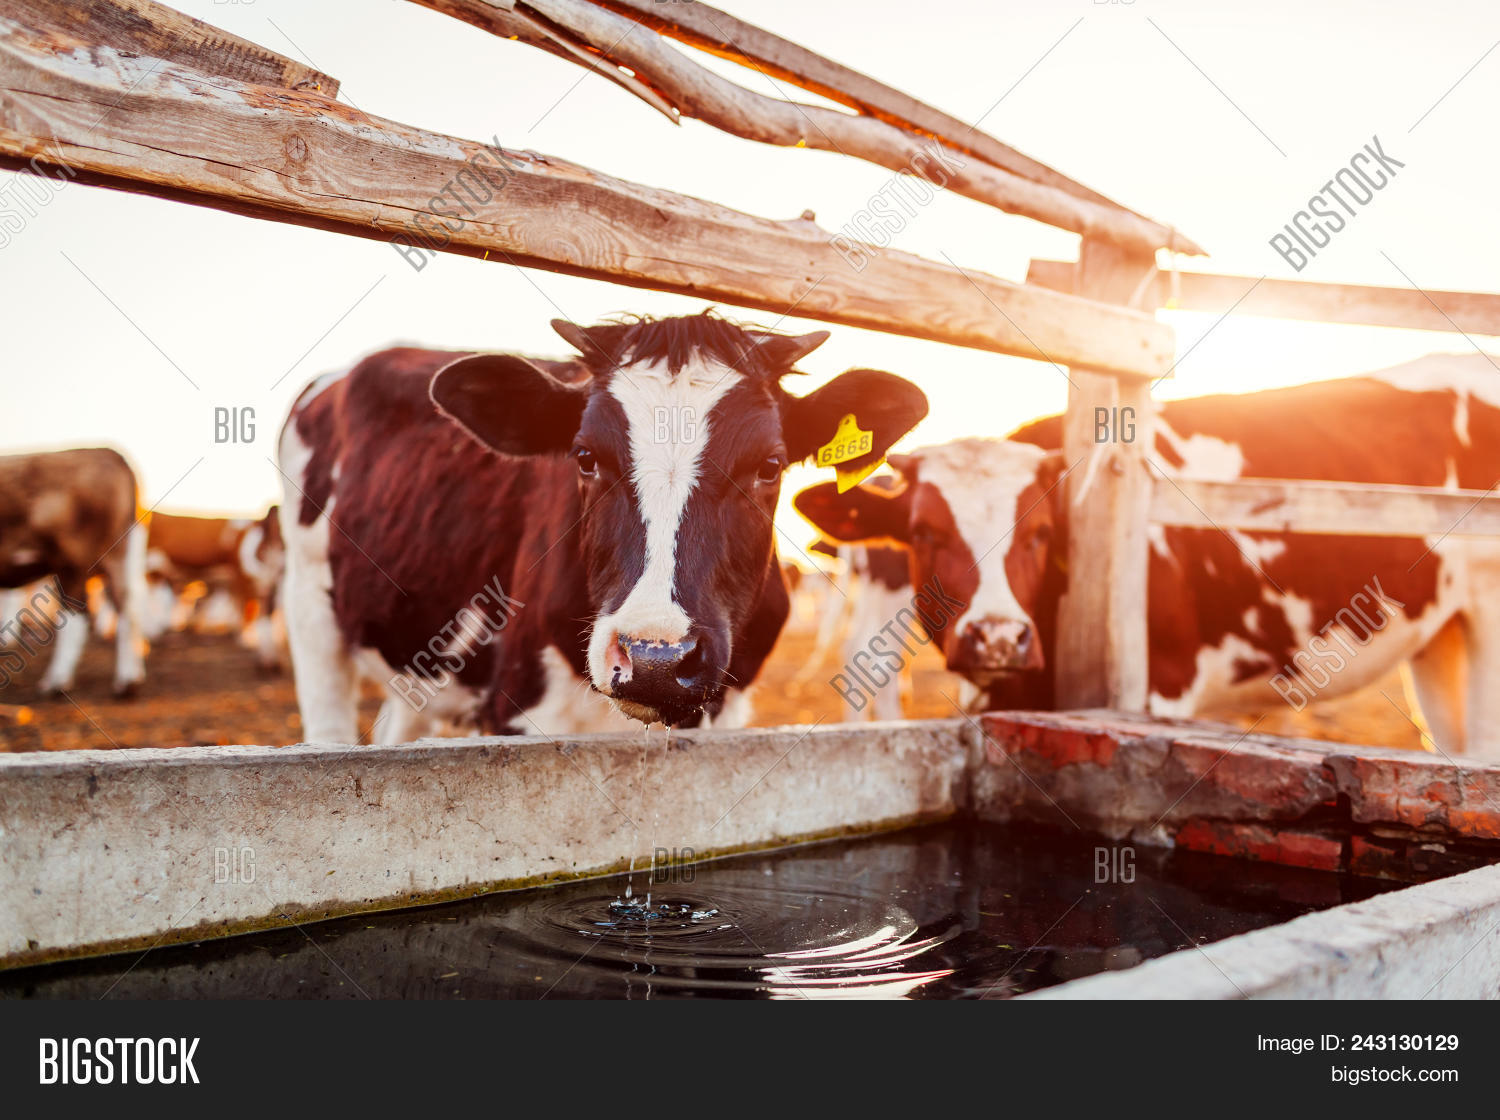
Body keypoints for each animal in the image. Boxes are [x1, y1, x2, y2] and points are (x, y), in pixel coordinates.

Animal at [0, 447, 147, 695]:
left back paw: (56, 683)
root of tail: (107, 452)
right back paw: (128, 681)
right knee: (126, 607)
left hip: (73, 562)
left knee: (77, 616)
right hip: (115, 558)